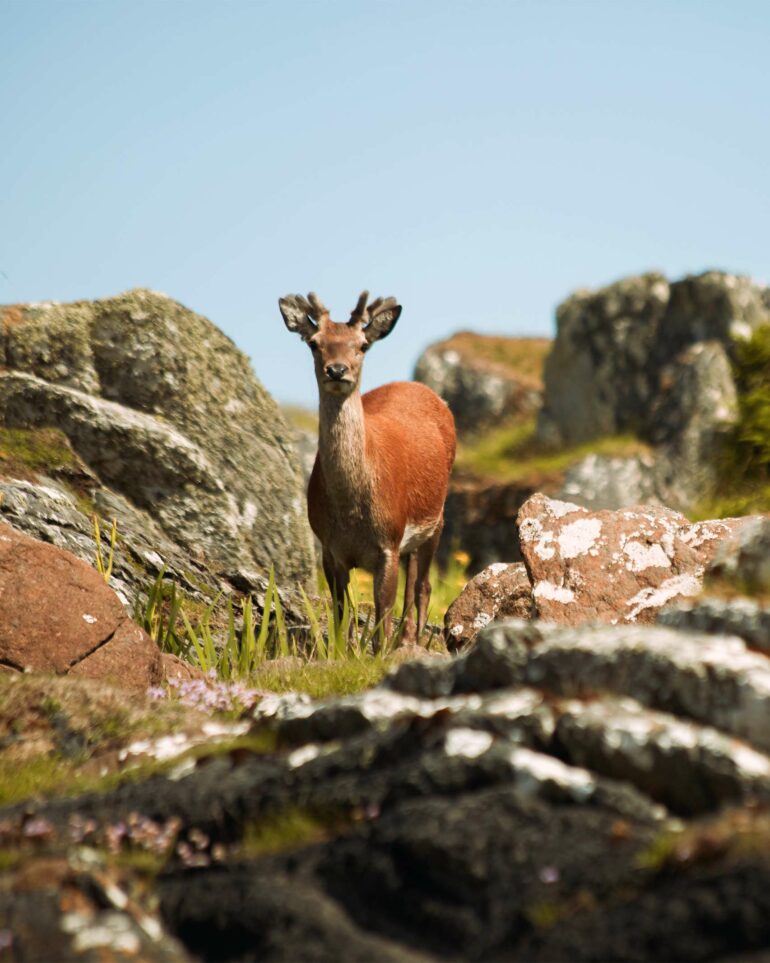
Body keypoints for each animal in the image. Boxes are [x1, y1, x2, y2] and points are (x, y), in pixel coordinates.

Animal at [279, 291, 456, 649]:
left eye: (362, 345)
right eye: (314, 343)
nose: (337, 370)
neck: (351, 516)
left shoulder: (388, 541)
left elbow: (381, 619)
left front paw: (382, 651)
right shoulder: (329, 549)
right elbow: (341, 615)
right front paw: (343, 650)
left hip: (437, 517)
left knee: (423, 585)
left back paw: (414, 640)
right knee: (413, 576)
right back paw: (407, 637)